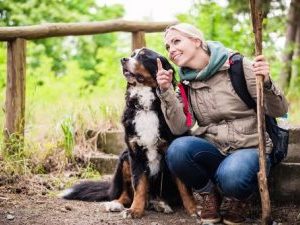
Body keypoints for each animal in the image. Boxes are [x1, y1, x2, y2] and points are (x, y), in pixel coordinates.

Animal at [61, 47, 198, 218]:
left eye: (144, 56)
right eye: (132, 55)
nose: (123, 59)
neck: (146, 107)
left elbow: (184, 188)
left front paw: (194, 210)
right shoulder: (135, 153)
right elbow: (139, 186)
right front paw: (135, 210)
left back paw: (160, 204)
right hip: (125, 158)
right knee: (126, 195)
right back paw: (116, 204)